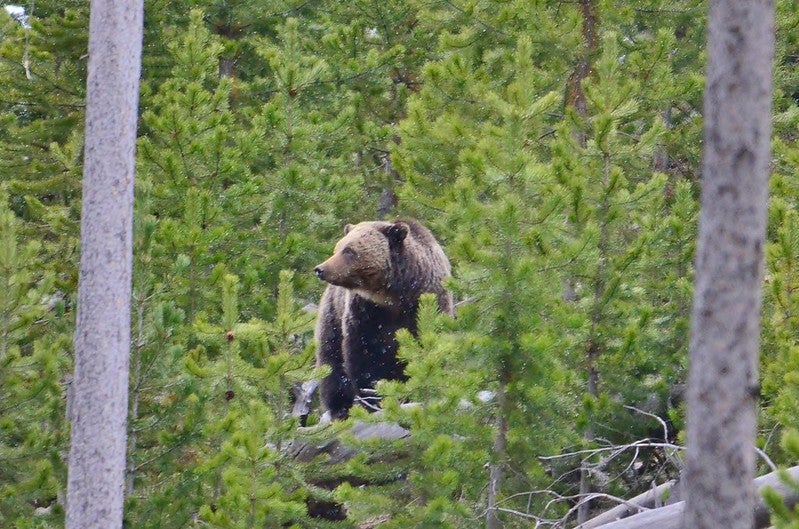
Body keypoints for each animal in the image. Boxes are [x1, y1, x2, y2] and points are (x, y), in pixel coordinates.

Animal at [312, 218, 454, 416]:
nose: (320, 269)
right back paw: (340, 408)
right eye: (338, 247)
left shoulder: (428, 304)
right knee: (331, 363)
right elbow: (363, 356)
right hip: (332, 316)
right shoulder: (365, 312)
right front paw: (373, 398)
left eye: (349, 250)